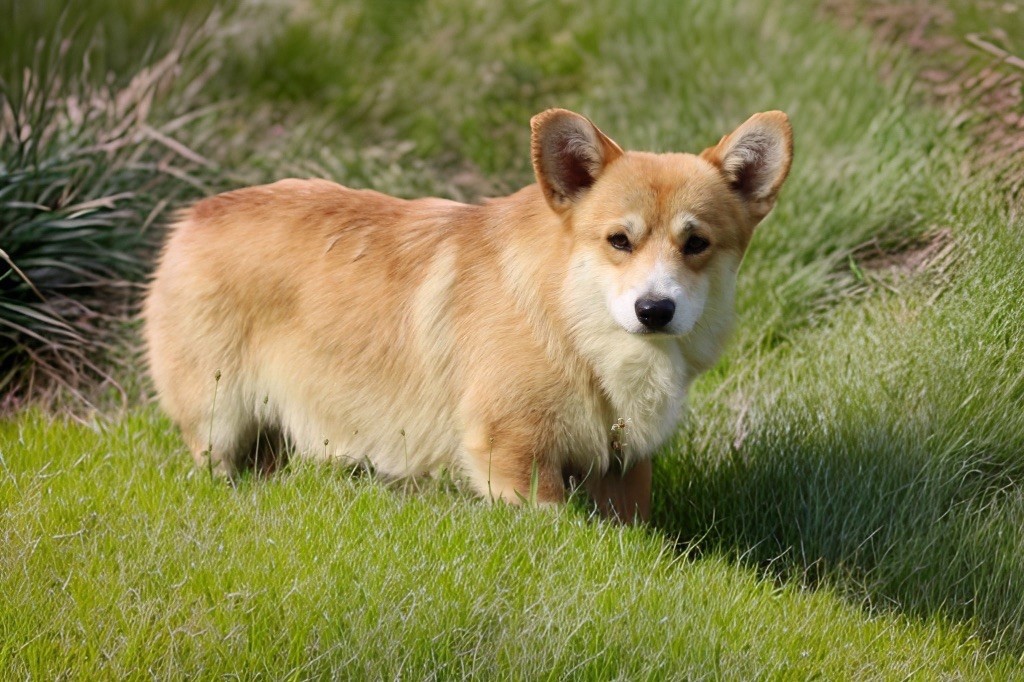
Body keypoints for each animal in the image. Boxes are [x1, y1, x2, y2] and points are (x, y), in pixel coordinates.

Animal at [142, 107, 790, 520]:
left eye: (696, 244)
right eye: (619, 241)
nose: (654, 309)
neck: (574, 328)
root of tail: (192, 216)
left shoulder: (624, 469)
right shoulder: (515, 455)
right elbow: (556, 520)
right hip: (218, 416)